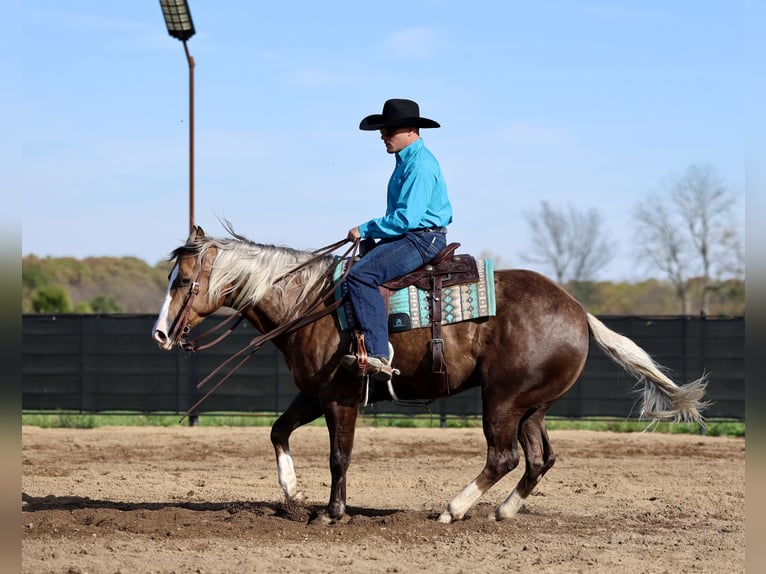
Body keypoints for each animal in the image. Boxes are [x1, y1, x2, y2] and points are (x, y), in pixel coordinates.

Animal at [152, 225, 708, 524]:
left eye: (182, 281)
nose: (159, 334)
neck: (310, 303)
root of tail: (578, 311)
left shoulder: (340, 397)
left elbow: (338, 456)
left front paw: (332, 512)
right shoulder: (313, 393)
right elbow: (278, 431)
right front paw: (292, 494)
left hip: (502, 400)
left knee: (504, 456)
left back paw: (453, 509)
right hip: (533, 406)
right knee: (539, 458)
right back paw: (504, 512)